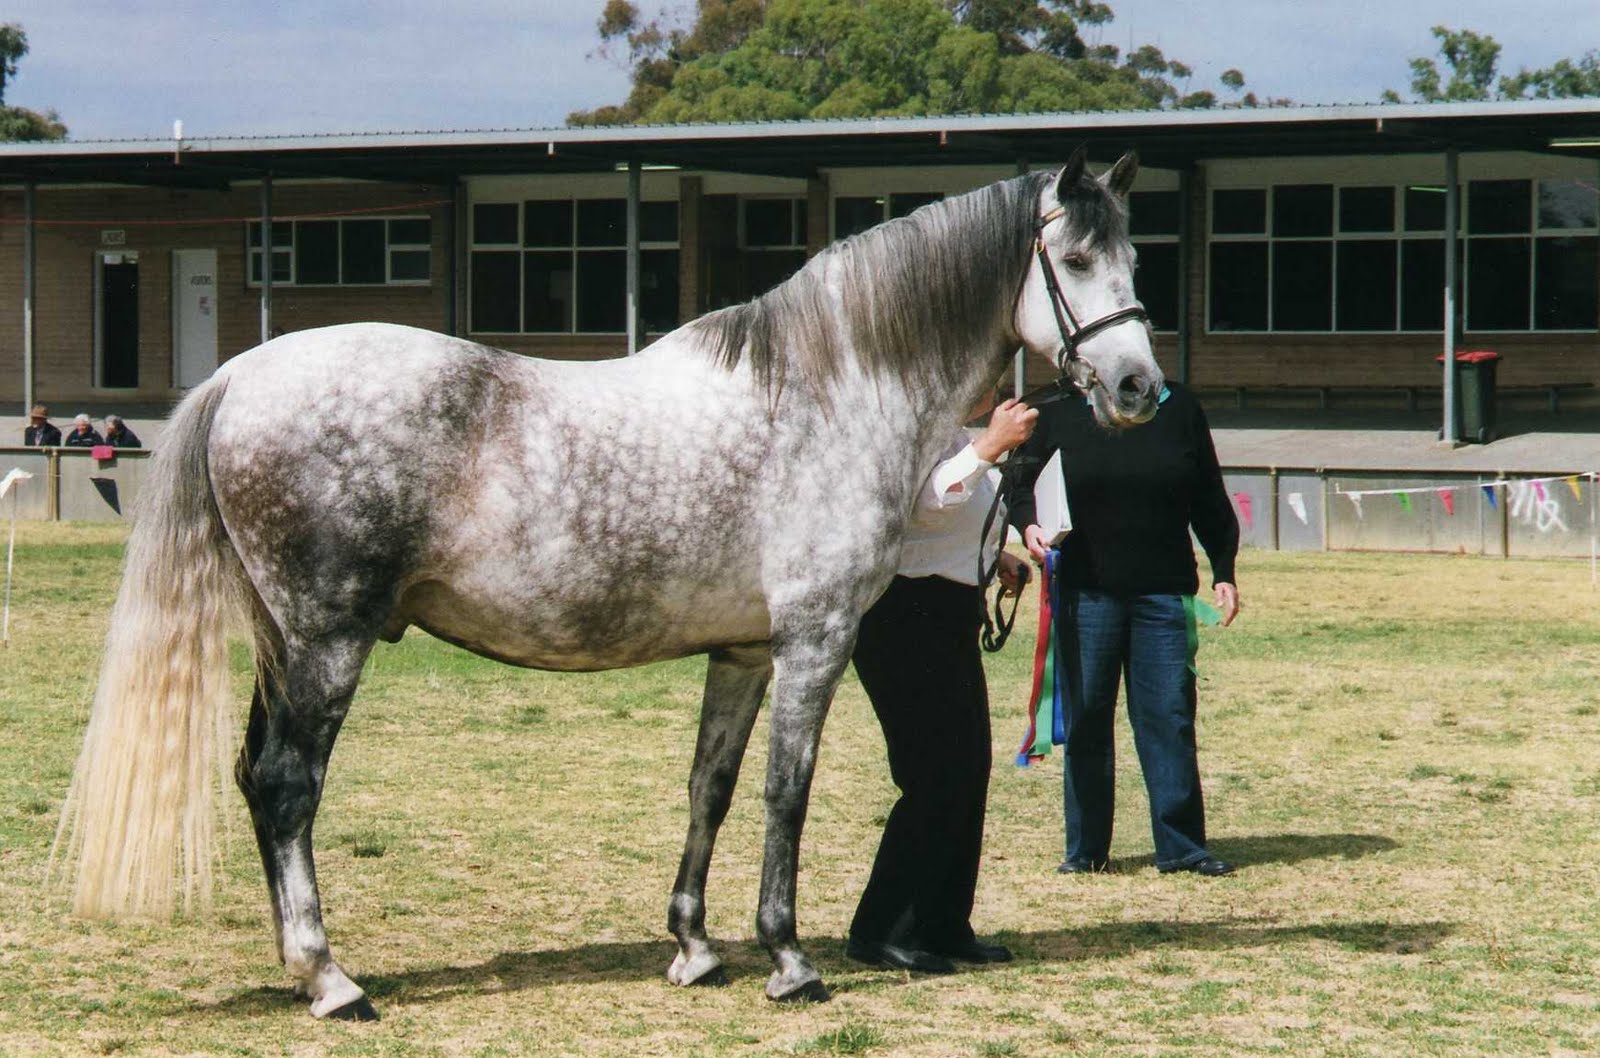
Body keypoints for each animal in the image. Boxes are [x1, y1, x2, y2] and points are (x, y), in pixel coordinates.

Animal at [54, 147, 1161, 1019]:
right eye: (1073, 260)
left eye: (1136, 258)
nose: (1138, 388)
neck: (829, 390)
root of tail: (238, 375)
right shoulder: (814, 640)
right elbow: (786, 791)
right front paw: (790, 959)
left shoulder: (743, 650)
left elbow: (711, 785)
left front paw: (696, 948)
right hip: (326, 641)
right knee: (289, 785)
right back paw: (332, 981)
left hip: (282, 643)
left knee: (255, 777)